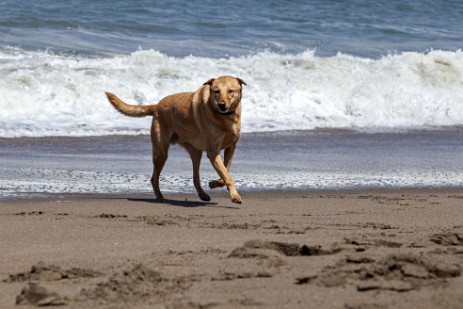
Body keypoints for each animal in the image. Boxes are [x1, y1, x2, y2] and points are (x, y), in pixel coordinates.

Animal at [105, 75, 246, 203]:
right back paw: (160, 197)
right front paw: (234, 196)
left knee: (195, 177)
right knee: (154, 178)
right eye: (216, 91)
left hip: (196, 153)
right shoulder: (213, 152)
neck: (225, 118)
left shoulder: (230, 147)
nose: (221, 105)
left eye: (230, 91)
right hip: (161, 153)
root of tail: (156, 106)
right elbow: (227, 175)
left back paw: (202, 194)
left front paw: (215, 183)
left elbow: (225, 172)